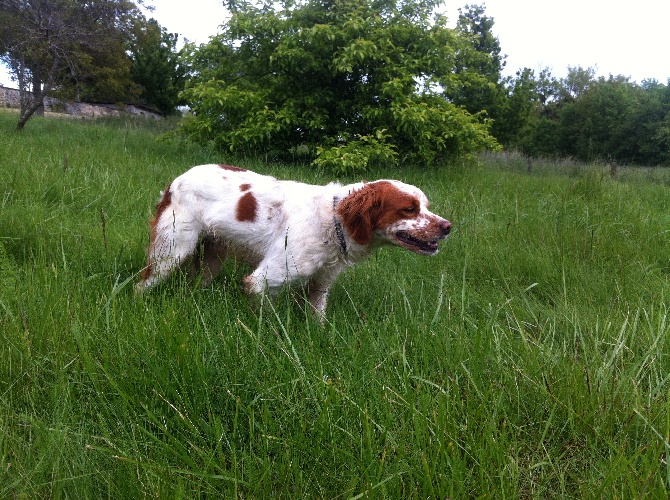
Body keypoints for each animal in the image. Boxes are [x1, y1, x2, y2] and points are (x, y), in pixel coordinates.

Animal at [136, 164, 452, 320]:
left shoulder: (319, 286)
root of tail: (177, 179)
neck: (333, 221)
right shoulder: (262, 281)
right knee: (142, 284)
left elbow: (317, 319)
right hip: (172, 252)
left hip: (212, 257)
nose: (448, 227)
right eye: (409, 209)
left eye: (425, 206)